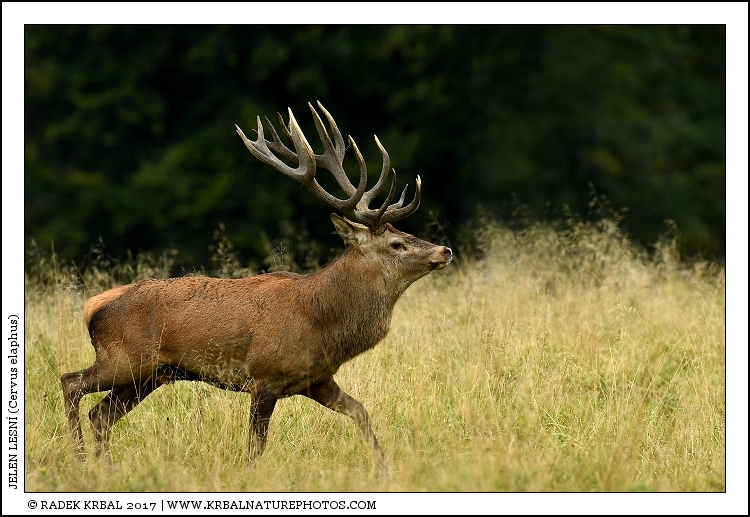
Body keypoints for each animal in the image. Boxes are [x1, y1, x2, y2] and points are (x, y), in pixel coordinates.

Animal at [61, 101, 453, 467]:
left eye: (406, 234)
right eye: (397, 244)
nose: (444, 250)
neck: (321, 320)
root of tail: (94, 307)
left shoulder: (317, 379)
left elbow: (361, 411)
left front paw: (382, 467)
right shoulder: (264, 378)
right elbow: (255, 447)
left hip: (149, 376)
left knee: (101, 416)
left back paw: (103, 466)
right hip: (123, 358)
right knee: (71, 383)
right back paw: (78, 458)